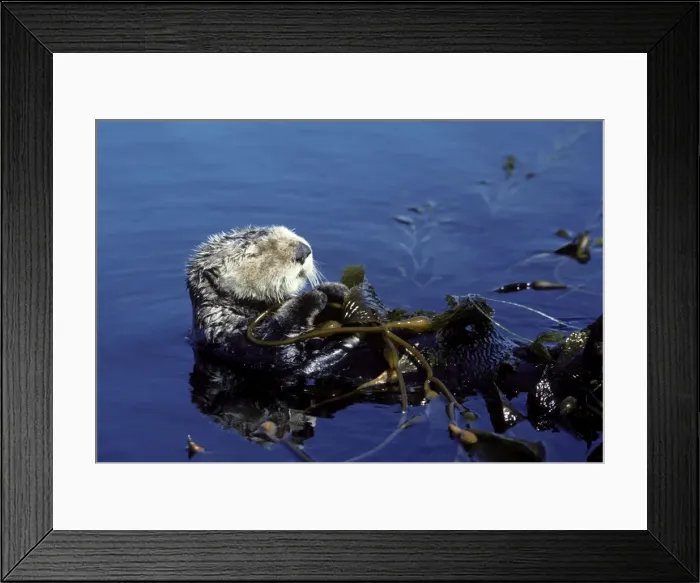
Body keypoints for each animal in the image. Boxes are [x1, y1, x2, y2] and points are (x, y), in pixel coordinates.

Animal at [185, 225, 359, 377]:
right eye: (253, 254)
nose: (303, 251)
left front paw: (335, 289)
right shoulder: (233, 343)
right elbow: (282, 353)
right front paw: (313, 297)